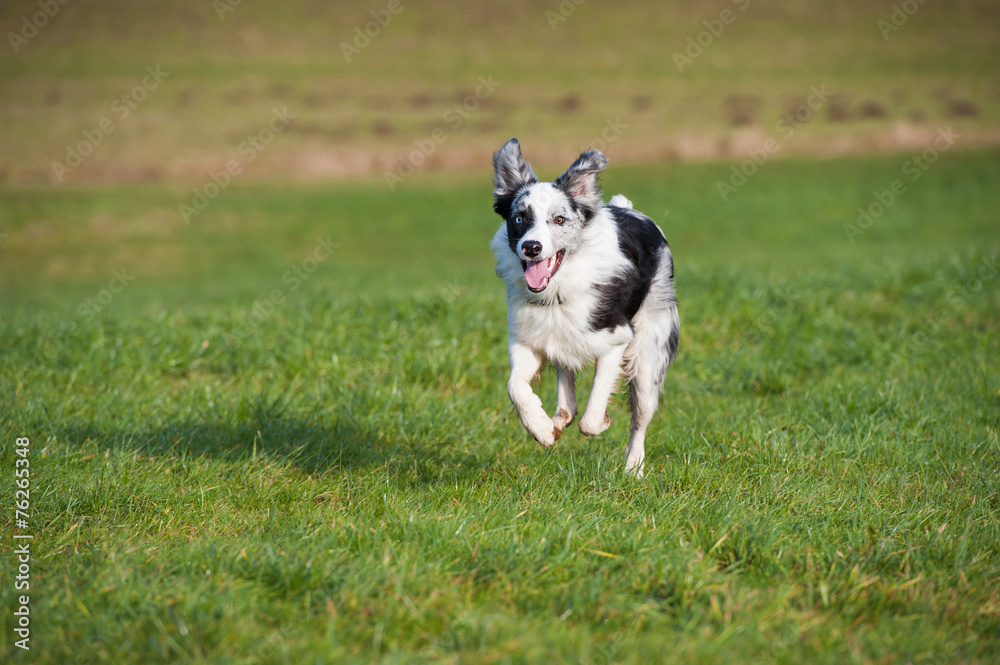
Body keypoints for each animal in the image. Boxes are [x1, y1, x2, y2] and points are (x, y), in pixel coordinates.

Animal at [490, 137, 680, 474]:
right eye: (519, 218)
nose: (531, 247)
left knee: (641, 415)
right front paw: (542, 428)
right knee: (566, 380)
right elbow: (515, 386)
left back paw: (634, 467)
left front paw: (603, 422)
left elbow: (591, 419)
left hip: (650, 351)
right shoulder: (526, 339)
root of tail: (631, 210)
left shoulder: (617, 339)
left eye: (559, 219)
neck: (558, 291)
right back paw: (558, 418)